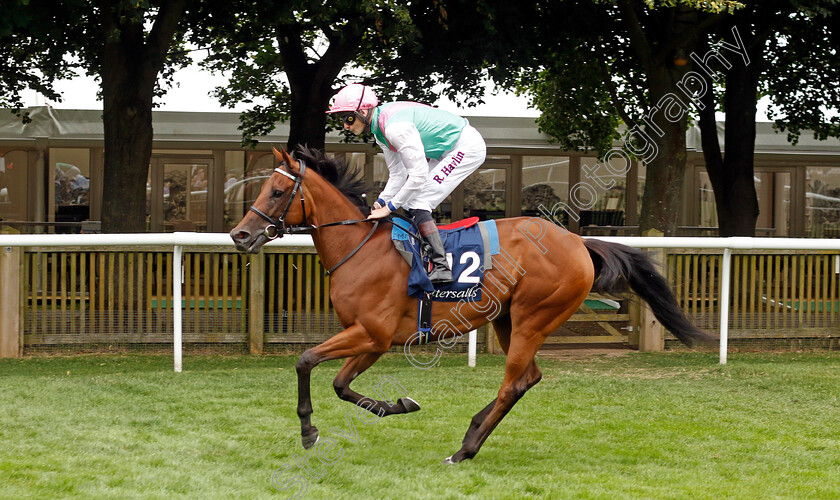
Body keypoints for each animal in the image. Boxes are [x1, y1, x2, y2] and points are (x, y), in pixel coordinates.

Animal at [231, 146, 716, 462]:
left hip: (533, 318)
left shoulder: (373, 334)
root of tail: (578, 241)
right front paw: (399, 405)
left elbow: (307, 361)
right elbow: (341, 384)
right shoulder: (370, 338)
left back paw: (464, 449)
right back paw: (473, 432)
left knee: (512, 384)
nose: (240, 235)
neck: (360, 248)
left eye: (277, 192)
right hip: (507, 319)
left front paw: (309, 431)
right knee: (528, 379)